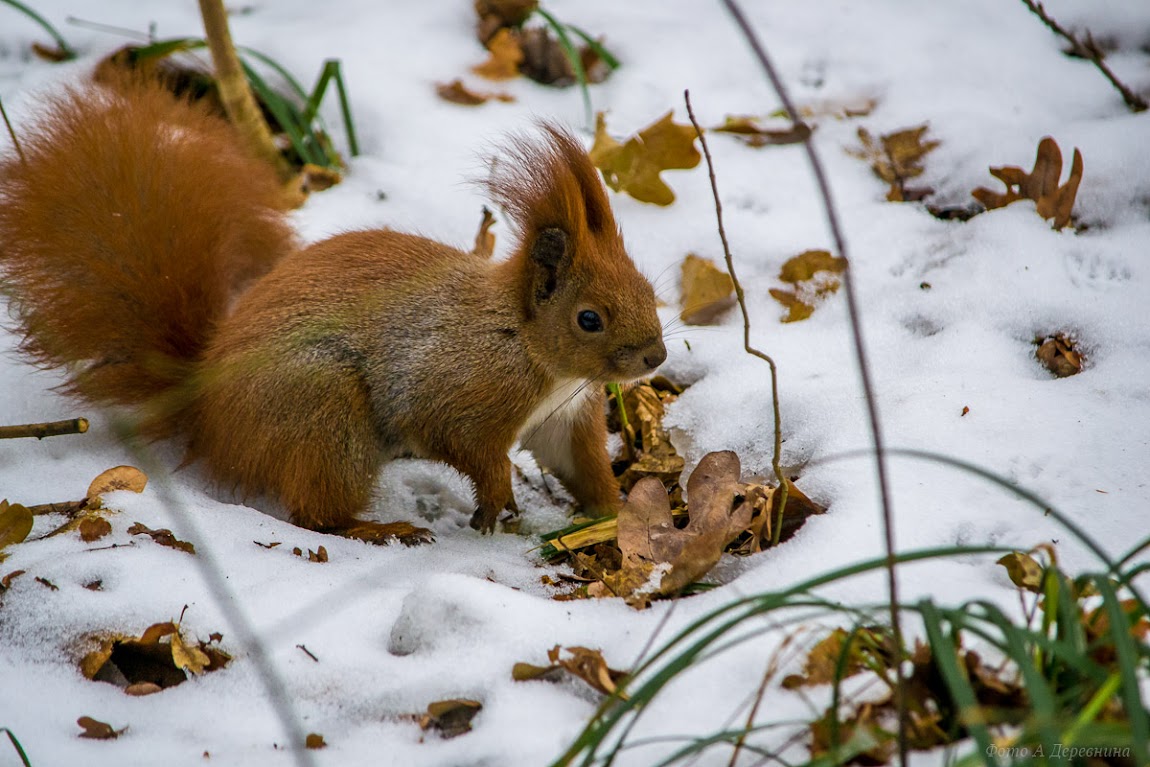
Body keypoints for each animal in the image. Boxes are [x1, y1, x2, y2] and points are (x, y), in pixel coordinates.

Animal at [0, 78, 667, 542]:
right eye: (589, 319)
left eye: (648, 288)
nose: (655, 358)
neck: (530, 350)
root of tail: (207, 407)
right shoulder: (459, 387)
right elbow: (464, 443)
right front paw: (498, 495)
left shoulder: (562, 419)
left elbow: (580, 465)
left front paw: (616, 513)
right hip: (324, 414)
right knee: (316, 515)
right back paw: (379, 528)